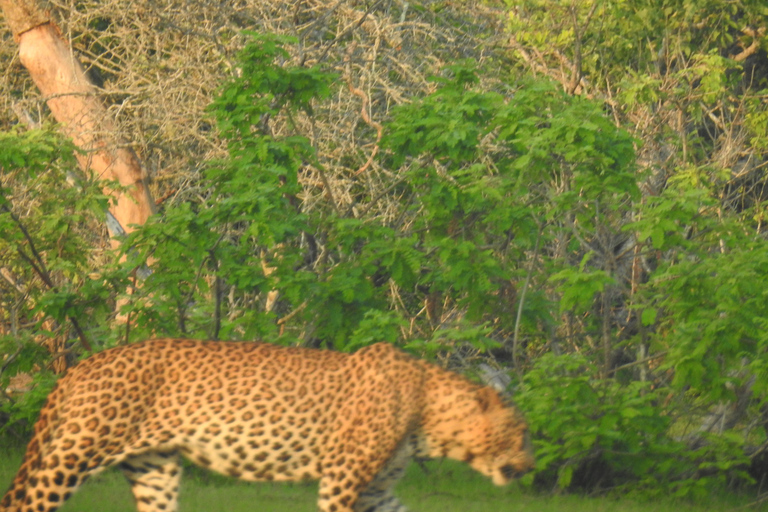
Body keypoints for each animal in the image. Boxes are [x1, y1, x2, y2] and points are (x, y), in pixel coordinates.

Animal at [1, 338, 534, 512]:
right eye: (521, 432)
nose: (531, 466)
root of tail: (81, 365)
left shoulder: (377, 491)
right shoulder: (343, 479)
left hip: (154, 470)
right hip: (75, 454)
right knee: (28, 504)